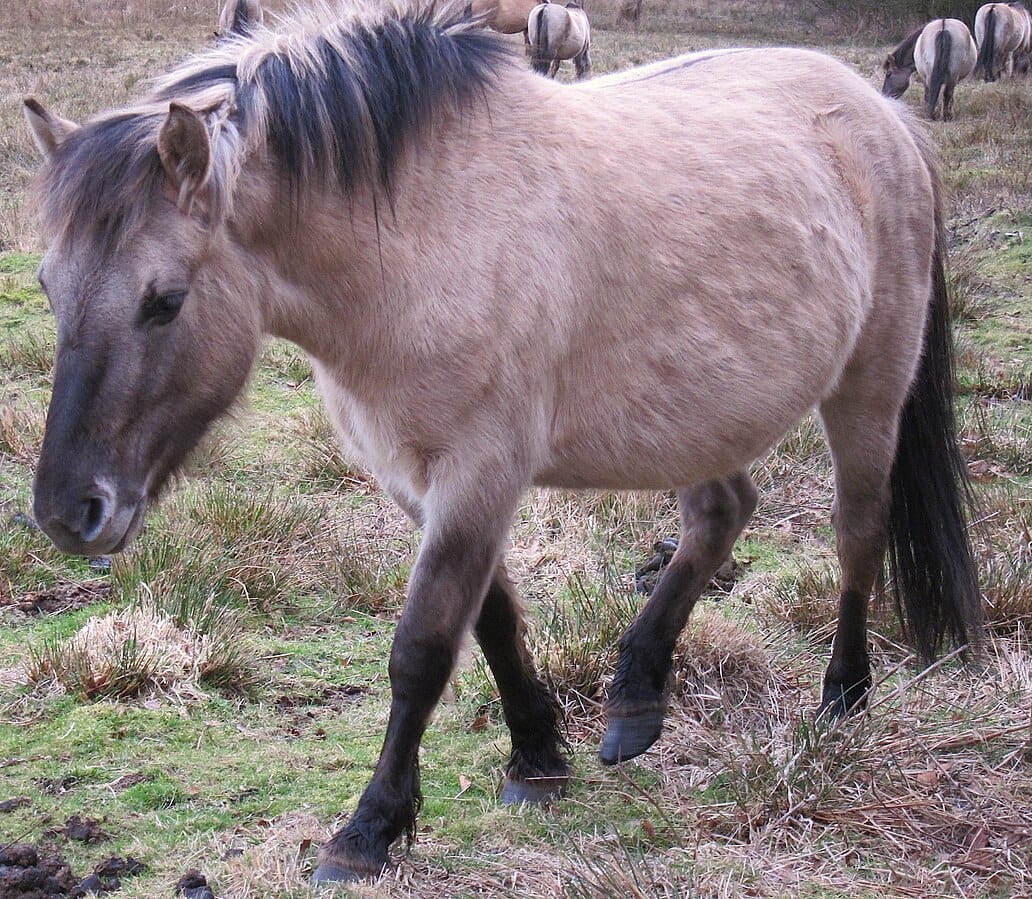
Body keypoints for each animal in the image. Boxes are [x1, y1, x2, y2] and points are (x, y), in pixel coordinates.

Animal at [23, 0, 980, 884]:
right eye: (49, 285)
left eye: (164, 300)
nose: (71, 512)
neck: (426, 229)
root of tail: (884, 117)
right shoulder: (420, 478)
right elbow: (491, 620)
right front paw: (538, 753)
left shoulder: (480, 471)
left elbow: (422, 648)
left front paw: (369, 828)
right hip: (703, 413)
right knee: (720, 514)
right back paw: (636, 697)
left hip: (868, 388)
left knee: (857, 532)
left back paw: (843, 695)